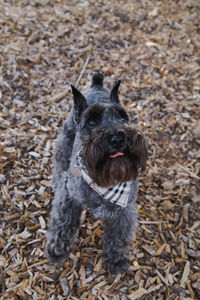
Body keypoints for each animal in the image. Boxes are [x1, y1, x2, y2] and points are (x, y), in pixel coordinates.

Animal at [45, 71, 148, 274]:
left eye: (123, 118)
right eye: (91, 122)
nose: (118, 138)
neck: (105, 183)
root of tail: (97, 84)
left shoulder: (125, 209)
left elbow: (119, 235)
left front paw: (117, 258)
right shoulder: (68, 196)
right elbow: (63, 221)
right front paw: (57, 249)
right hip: (65, 138)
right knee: (60, 162)